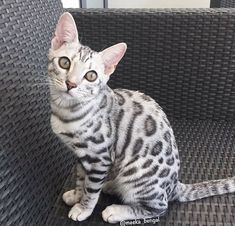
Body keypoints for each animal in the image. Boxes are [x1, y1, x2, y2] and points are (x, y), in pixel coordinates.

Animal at [47, 12, 235, 224]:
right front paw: (76, 195)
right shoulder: (81, 156)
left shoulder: (100, 158)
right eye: (64, 62)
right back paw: (111, 186)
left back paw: (116, 210)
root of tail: (174, 185)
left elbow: (91, 189)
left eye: (91, 76)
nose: (71, 84)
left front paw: (83, 208)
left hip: (137, 176)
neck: (66, 111)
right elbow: (81, 178)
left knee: (159, 208)